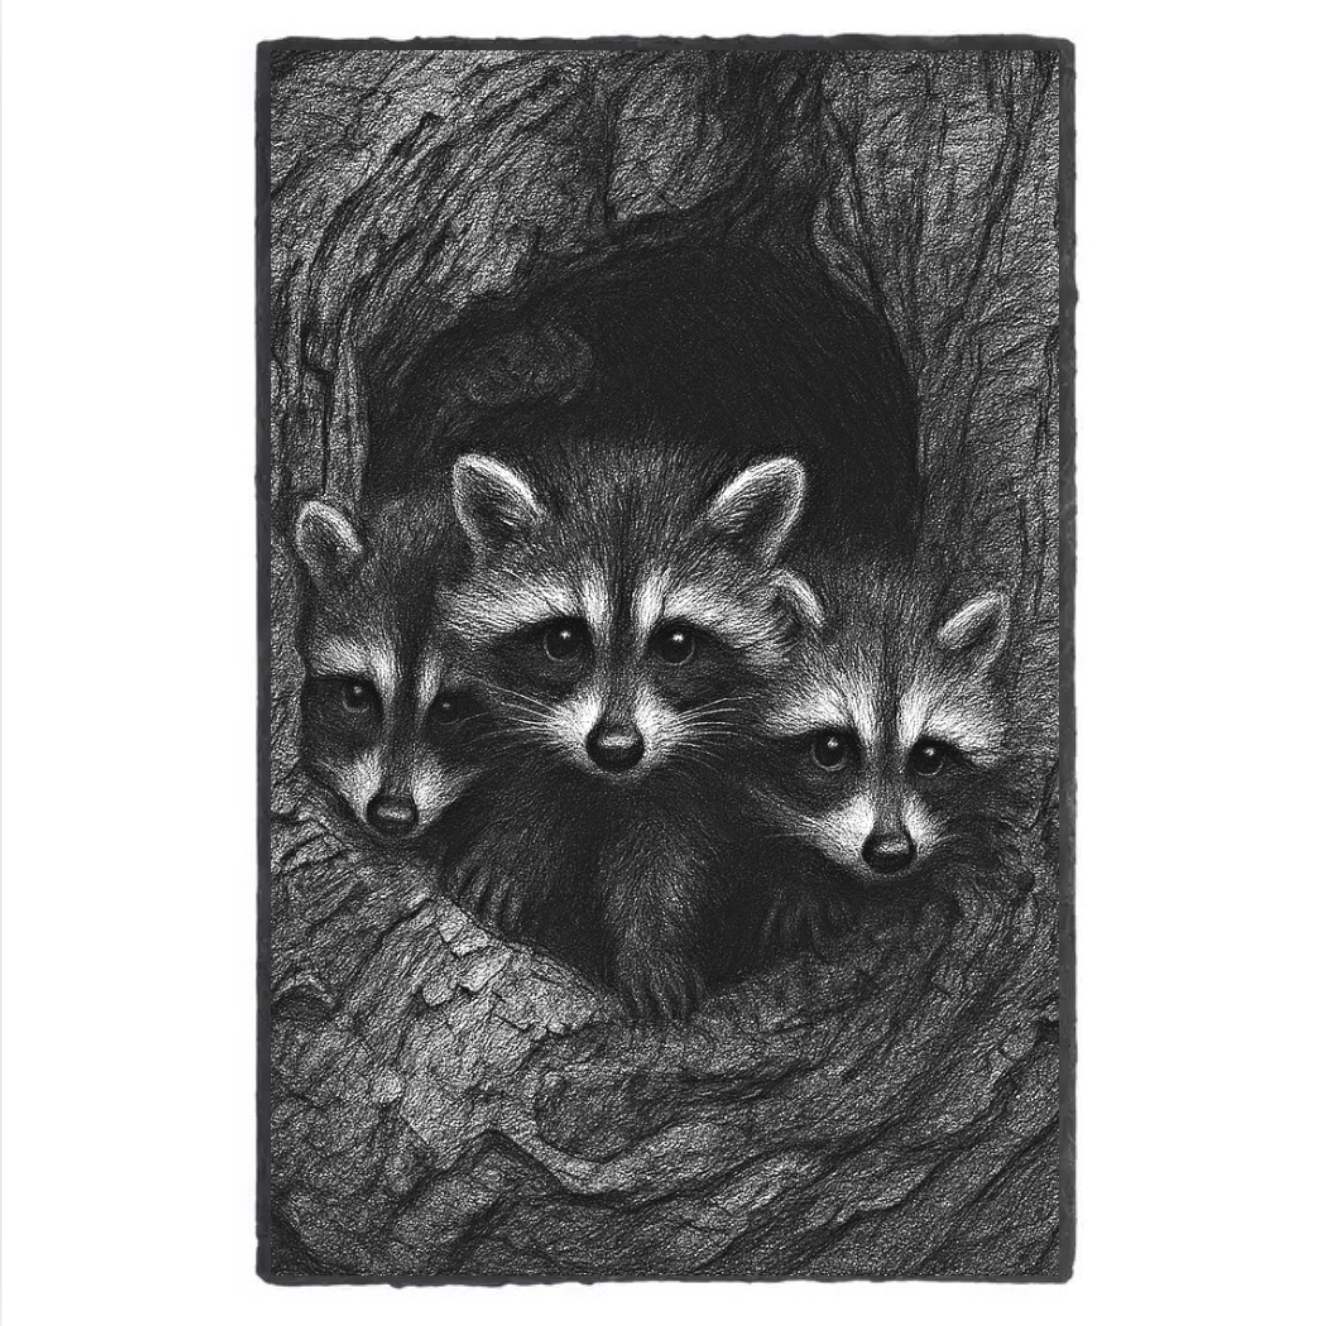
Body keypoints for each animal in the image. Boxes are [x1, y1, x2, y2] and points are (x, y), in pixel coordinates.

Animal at [440, 436, 816, 1016]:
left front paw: (654, 944)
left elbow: (665, 857)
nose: (615, 747)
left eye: (676, 644)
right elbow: (534, 781)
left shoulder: (690, 776)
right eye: (564, 641)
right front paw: (513, 848)